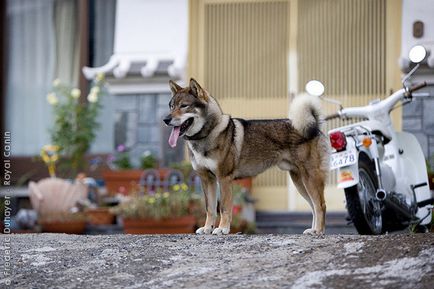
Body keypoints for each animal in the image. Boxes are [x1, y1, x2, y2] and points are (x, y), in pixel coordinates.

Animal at [163, 78, 328, 234]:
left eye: (184, 106)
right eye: (171, 106)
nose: (165, 120)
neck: (207, 134)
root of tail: (315, 125)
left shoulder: (224, 179)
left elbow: (223, 207)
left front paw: (222, 229)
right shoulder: (207, 179)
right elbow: (210, 208)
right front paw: (207, 228)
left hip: (309, 178)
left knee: (320, 205)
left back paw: (318, 231)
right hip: (299, 182)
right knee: (313, 206)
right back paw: (313, 230)